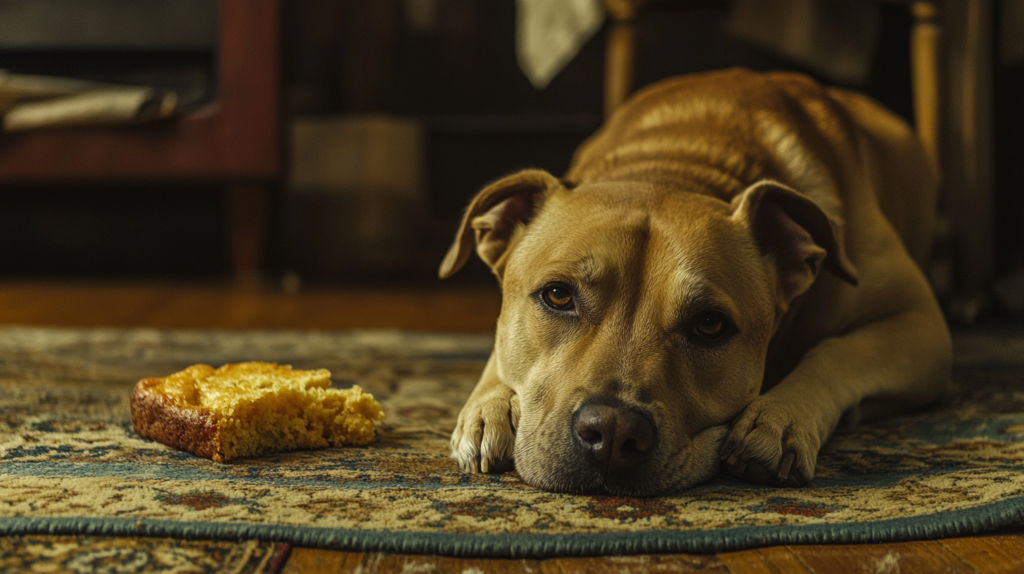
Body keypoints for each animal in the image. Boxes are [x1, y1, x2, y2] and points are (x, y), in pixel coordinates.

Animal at [438, 69, 950, 495]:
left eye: (710, 325)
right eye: (558, 296)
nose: (613, 431)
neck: (679, 163)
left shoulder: (920, 324)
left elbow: (834, 350)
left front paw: (780, 418)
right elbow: (498, 355)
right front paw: (489, 407)